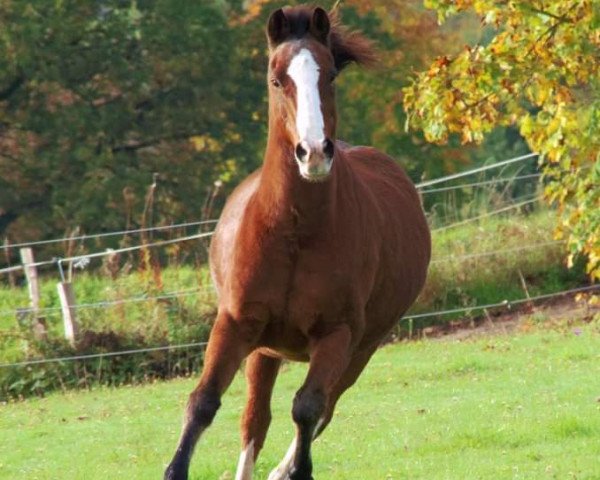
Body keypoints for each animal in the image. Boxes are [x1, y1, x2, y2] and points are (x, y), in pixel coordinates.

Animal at [162, 4, 428, 480]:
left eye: (331, 76)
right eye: (275, 78)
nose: (314, 152)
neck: (294, 232)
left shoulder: (337, 335)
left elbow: (307, 408)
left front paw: (294, 469)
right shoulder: (233, 325)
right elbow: (204, 402)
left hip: (361, 349)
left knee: (325, 407)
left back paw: (281, 468)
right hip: (264, 350)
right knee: (255, 418)